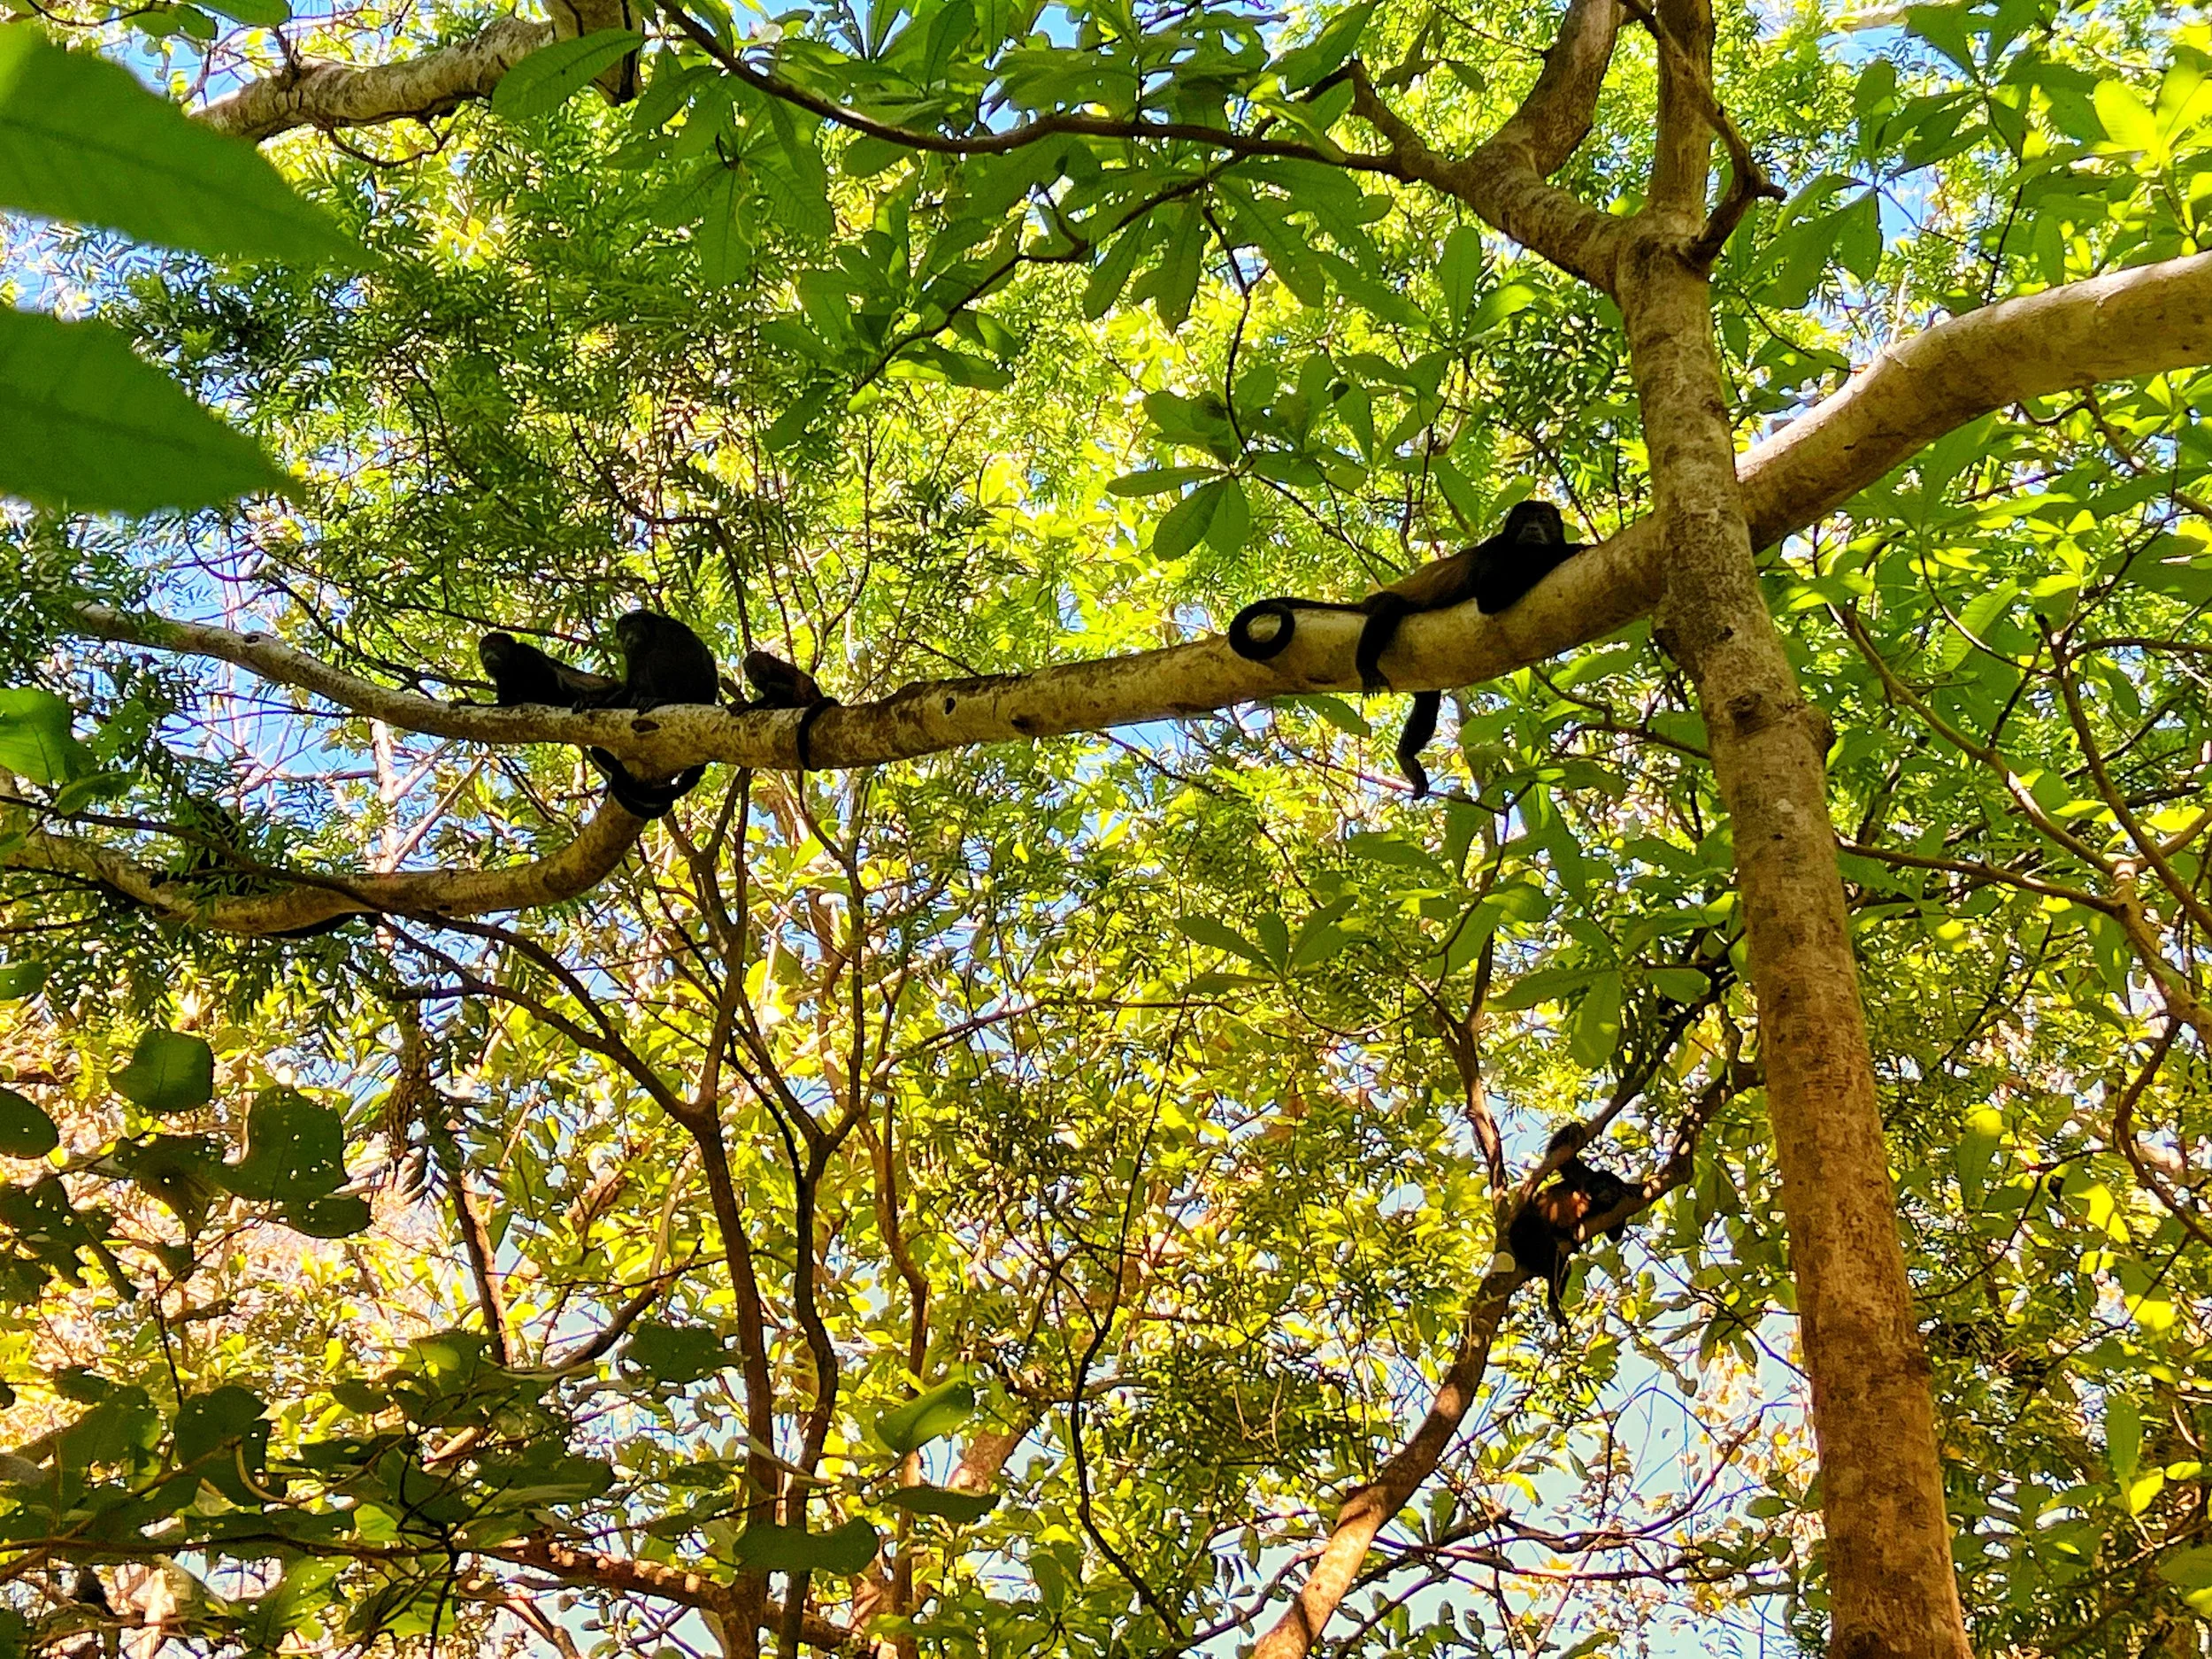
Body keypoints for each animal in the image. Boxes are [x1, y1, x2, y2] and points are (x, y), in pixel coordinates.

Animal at [1227, 501, 1584, 797]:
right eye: (1524, 520)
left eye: (1542, 519)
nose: (1532, 528)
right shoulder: (1496, 551)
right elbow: (1490, 594)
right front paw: (1569, 550)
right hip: (1382, 605)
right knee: (1390, 607)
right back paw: (1367, 666)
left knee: (1428, 700)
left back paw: (1406, 755)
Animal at [1505, 1127, 1639, 1328]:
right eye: (1600, 1187)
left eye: (1610, 1187)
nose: (1605, 1192)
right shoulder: (1585, 1179)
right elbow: (1562, 1159)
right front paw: (1574, 1128)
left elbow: (1614, 1236)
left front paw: (1626, 1189)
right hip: (1527, 1228)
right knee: (1547, 1249)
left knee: (1562, 1266)